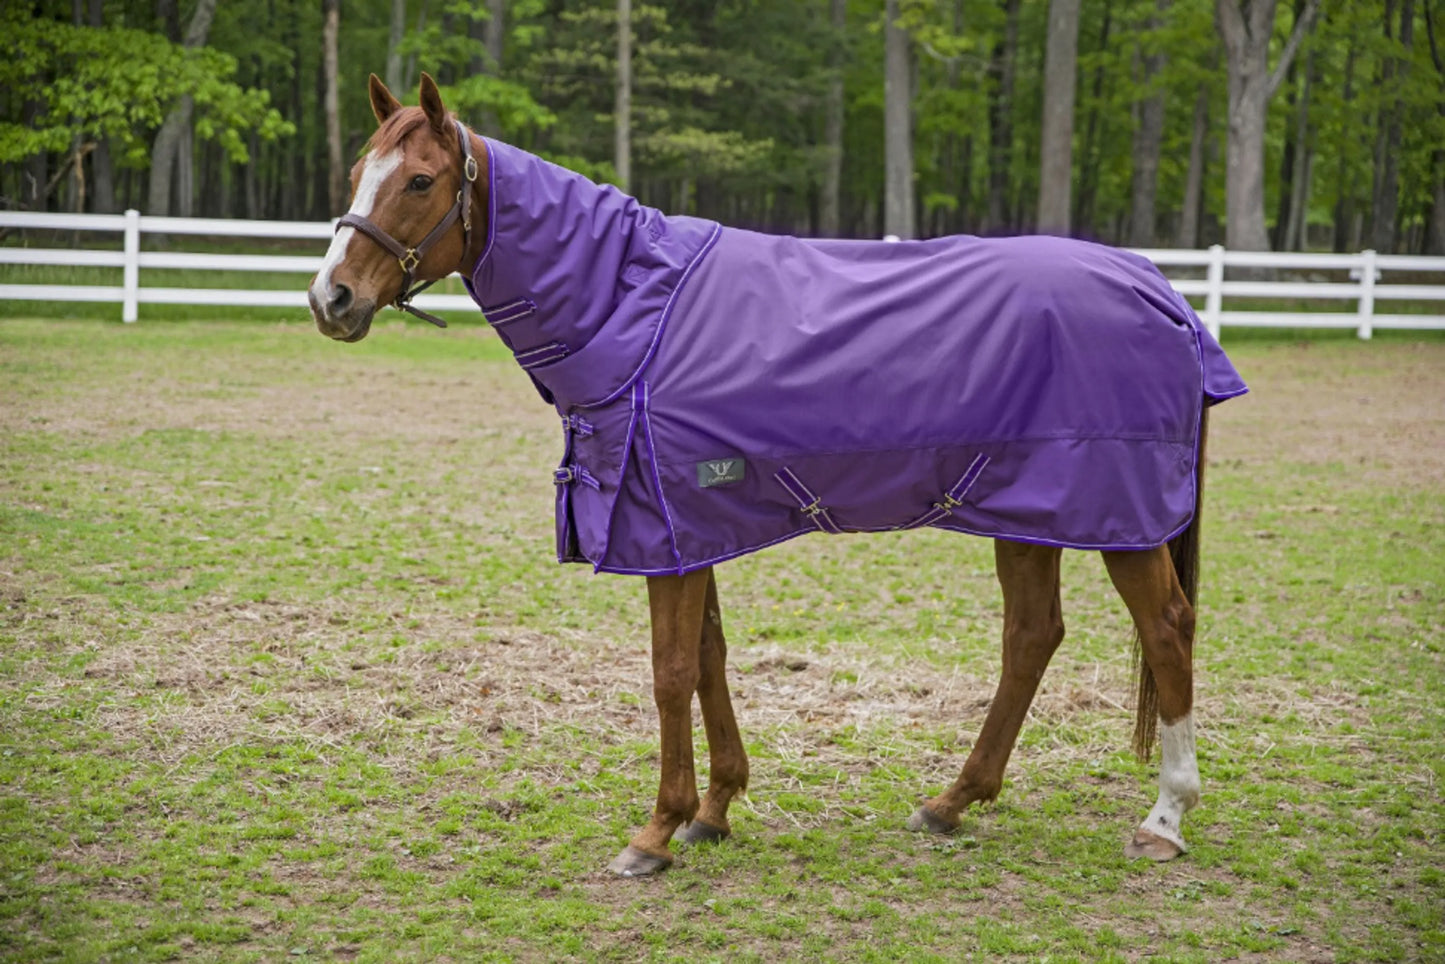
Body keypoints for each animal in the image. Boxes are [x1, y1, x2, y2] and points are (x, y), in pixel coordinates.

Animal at [307, 73, 1247, 878]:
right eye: (358, 173)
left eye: (420, 180)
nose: (332, 299)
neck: (632, 308)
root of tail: (1160, 290)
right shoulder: (685, 526)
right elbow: (709, 659)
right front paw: (714, 810)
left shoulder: (660, 527)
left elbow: (669, 672)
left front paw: (655, 831)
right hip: (1023, 513)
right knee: (1031, 637)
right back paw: (951, 802)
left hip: (1118, 520)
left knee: (1166, 630)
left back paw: (1163, 819)